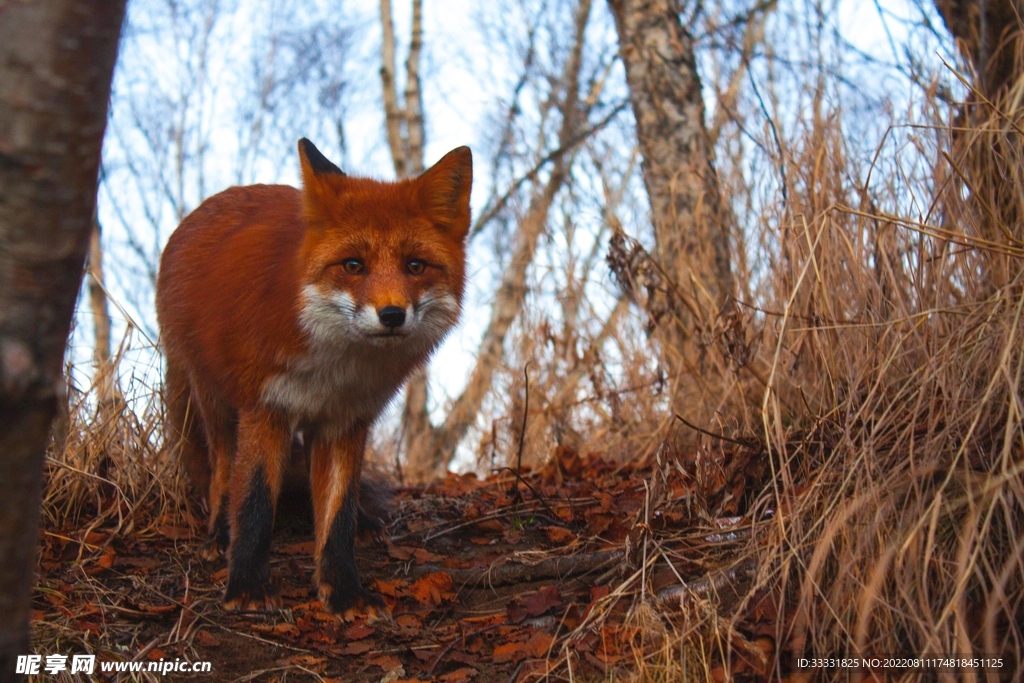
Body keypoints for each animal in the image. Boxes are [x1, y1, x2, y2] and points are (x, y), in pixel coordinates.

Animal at [155, 137, 471, 614]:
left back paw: (362, 522)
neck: (335, 368)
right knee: (223, 471)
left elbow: (337, 511)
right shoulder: (265, 407)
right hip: (215, 402)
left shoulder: (345, 419)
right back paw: (219, 534)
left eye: (415, 266)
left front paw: (342, 590)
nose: (392, 315)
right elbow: (254, 500)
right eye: (353, 265)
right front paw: (247, 585)